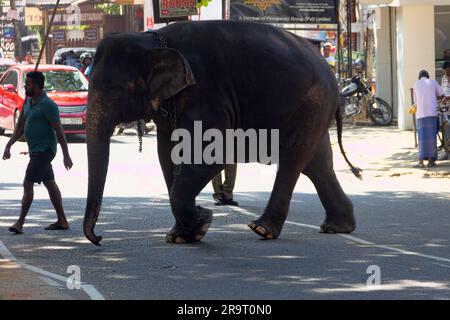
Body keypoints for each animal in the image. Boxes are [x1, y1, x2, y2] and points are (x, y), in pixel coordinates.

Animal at [82, 20, 360, 245]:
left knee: (294, 158)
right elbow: (166, 155)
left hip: (312, 101)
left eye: (115, 89)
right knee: (318, 163)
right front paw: (181, 234)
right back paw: (337, 227)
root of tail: (331, 72)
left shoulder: (204, 94)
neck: (151, 39)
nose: (99, 238)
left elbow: (217, 154)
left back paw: (263, 229)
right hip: (315, 107)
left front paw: (202, 221)